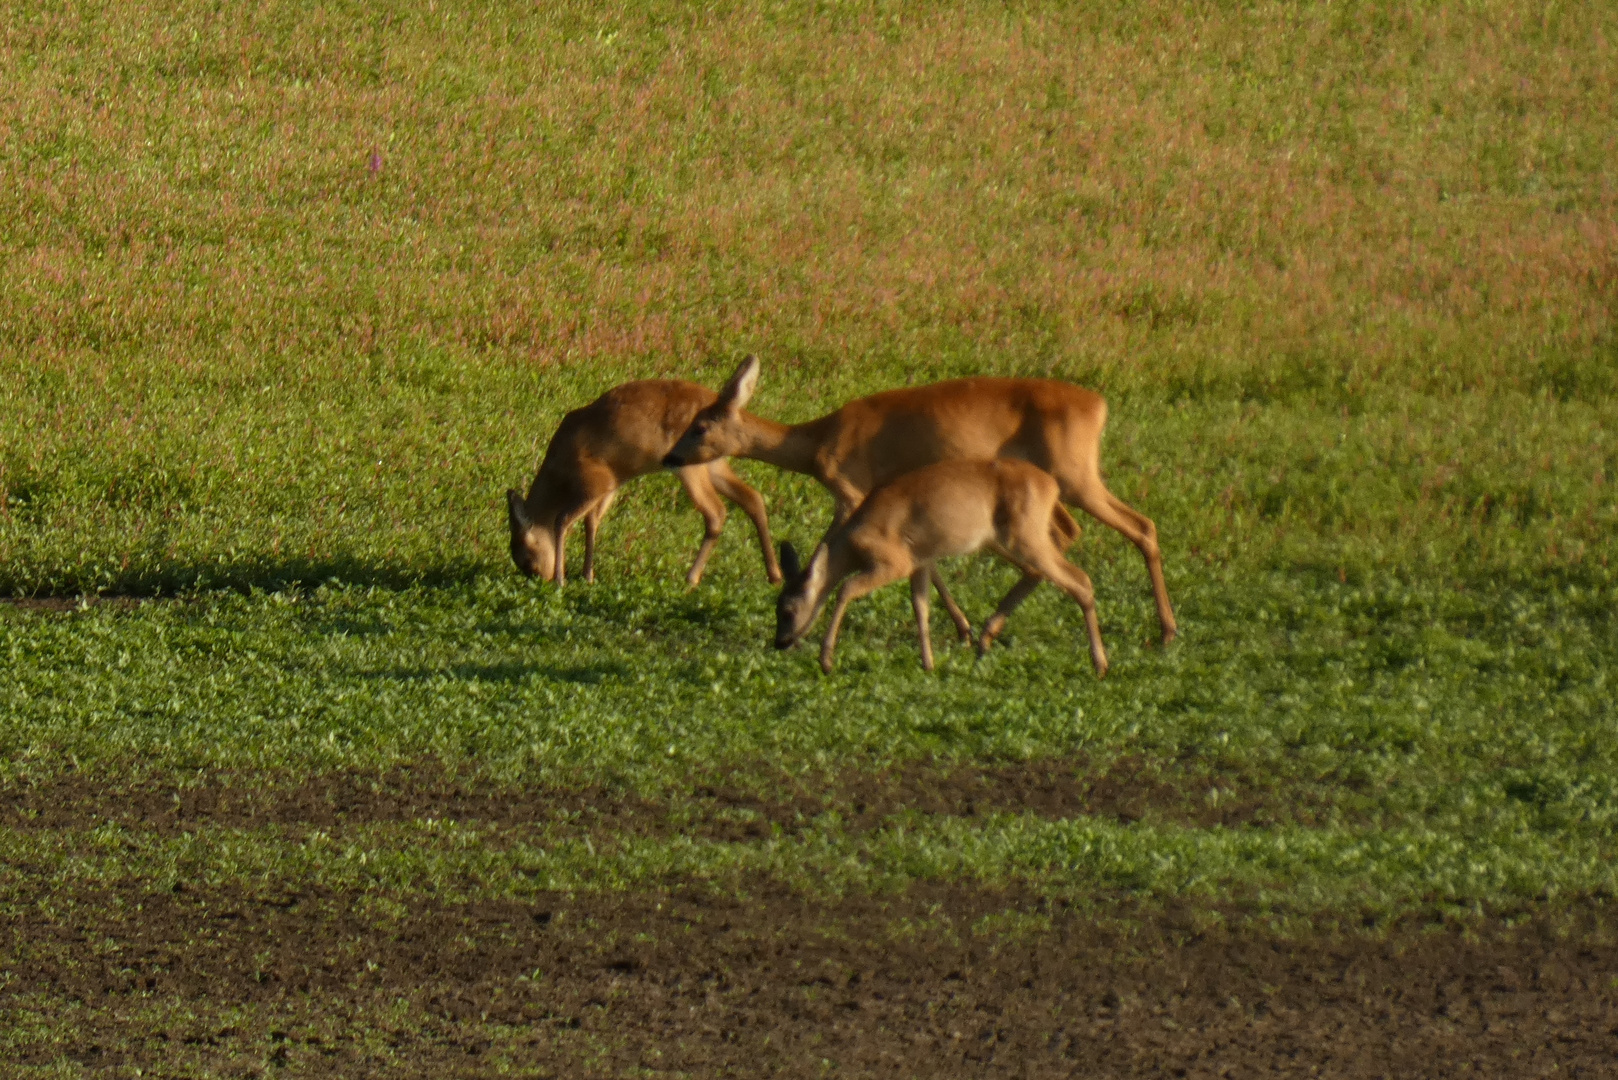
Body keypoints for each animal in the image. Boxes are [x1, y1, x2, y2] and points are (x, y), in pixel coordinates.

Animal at [504, 378, 783, 586]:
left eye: (527, 559)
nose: (541, 577)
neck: (558, 469)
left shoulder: (596, 481)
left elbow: (562, 520)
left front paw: (561, 580)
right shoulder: (612, 483)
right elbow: (592, 522)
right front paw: (587, 575)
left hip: (691, 466)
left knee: (716, 511)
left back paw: (691, 578)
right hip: (713, 463)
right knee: (752, 497)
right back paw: (774, 574)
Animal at [663, 354, 1184, 647]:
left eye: (701, 426)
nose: (671, 456)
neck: (818, 443)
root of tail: (1100, 406)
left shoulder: (852, 486)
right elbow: (926, 564)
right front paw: (961, 627)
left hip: (1075, 473)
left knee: (1141, 526)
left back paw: (1166, 630)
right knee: (1073, 534)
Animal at [773, 459, 1106, 680]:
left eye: (788, 611)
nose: (780, 642)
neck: (853, 543)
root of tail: (1051, 485)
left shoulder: (895, 561)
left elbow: (846, 588)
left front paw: (826, 660)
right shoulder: (919, 561)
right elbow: (920, 607)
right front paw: (928, 664)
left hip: (1025, 535)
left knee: (1080, 579)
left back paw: (1099, 663)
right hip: (1008, 537)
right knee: (1046, 574)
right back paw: (985, 641)